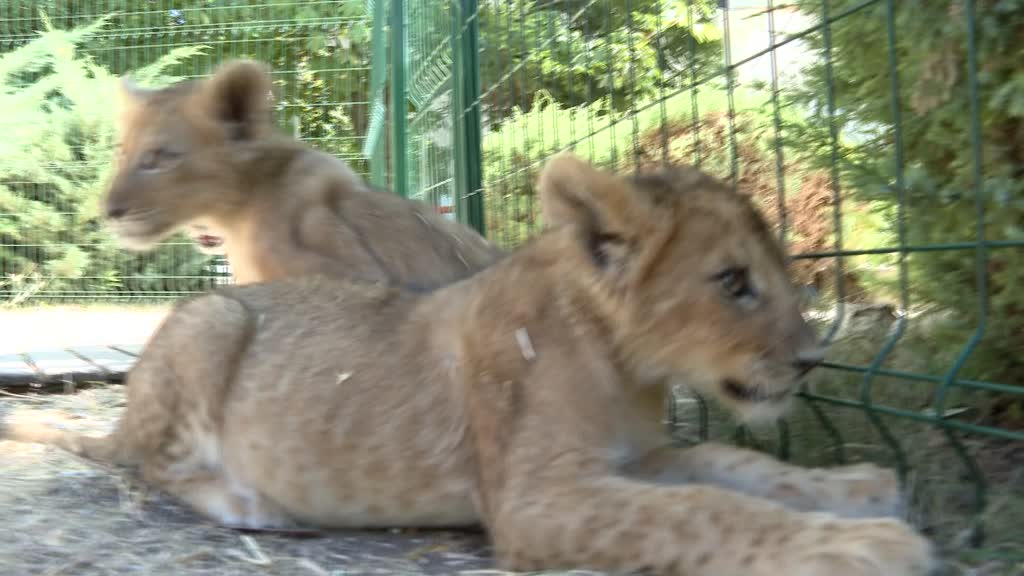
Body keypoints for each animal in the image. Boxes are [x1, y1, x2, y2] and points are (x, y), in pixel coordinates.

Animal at [2, 154, 935, 575]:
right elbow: (711, 511)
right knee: (146, 464)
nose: (813, 361)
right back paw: (248, 502)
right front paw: (865, 543)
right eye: (734, 281)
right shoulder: (534, 499)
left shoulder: (639, 458)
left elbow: (734, 468)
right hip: (212, 316)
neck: (624, 367)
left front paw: (858, 488)